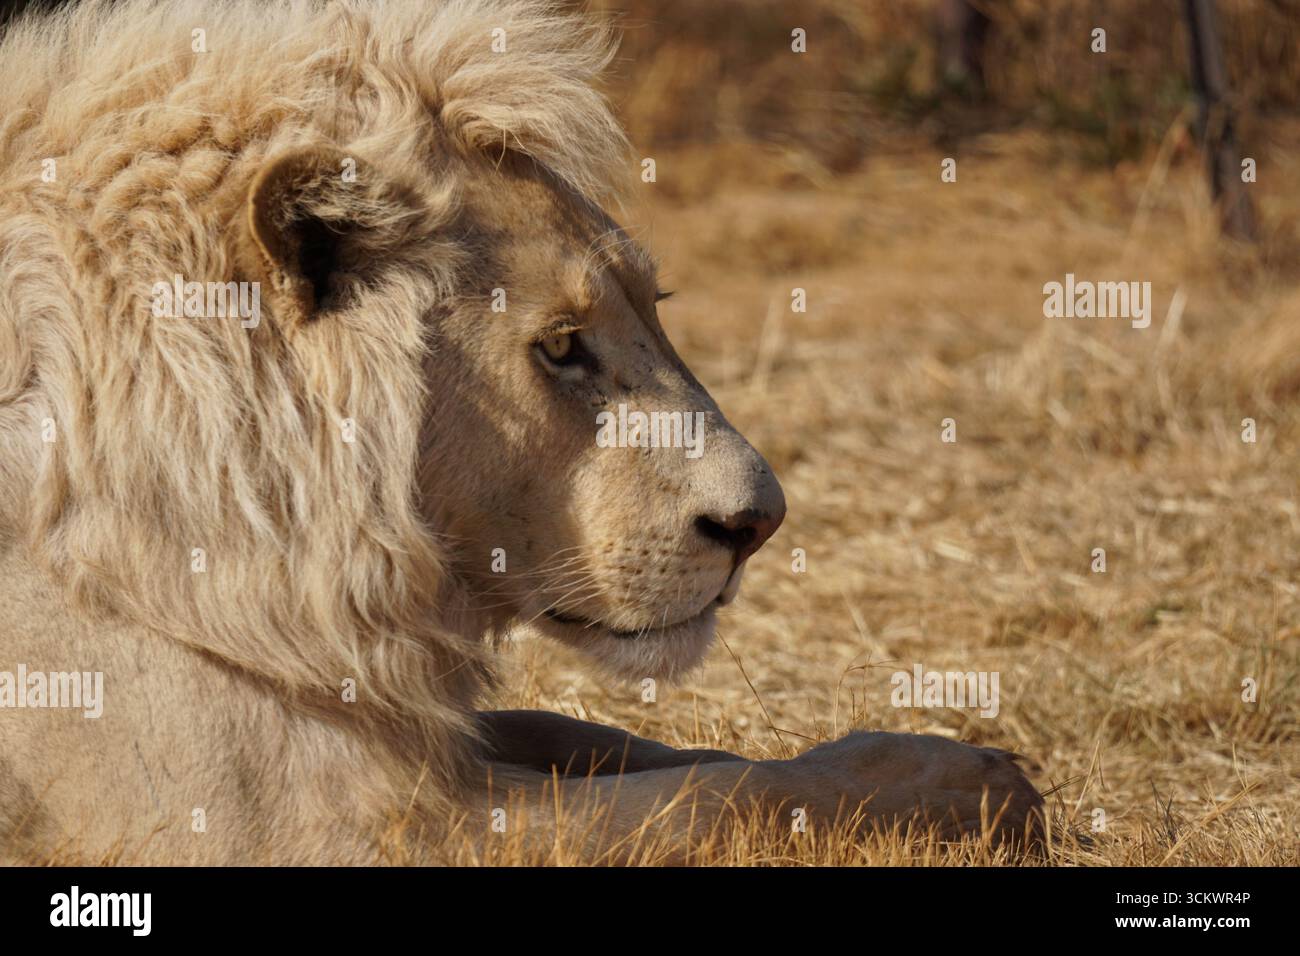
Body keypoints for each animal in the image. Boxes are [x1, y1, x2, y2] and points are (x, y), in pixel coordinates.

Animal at [0, 0, 1040, 864]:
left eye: (655, 308)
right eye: (562, 347)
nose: (759, 525)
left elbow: (598, 735)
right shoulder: (295, 825)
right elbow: (709, 797)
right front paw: (963, 782)